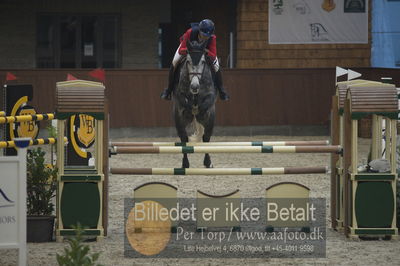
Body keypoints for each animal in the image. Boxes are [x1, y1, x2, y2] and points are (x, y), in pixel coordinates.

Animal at [171, 39, 216, 168]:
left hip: (210, 121)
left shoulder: (210, 96)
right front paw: (192, 107)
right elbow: (184, 101)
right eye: (188, 61)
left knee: (206, 137)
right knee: (184, 138)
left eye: (203, 62)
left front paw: (198, 110)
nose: (195, 87)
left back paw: (208, 162)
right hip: (179, 121)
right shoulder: (180, 95)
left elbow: (206, 103)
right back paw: (185, 164)